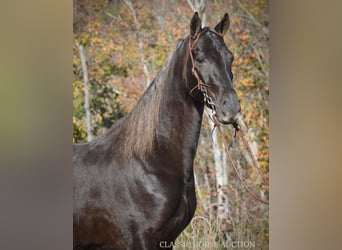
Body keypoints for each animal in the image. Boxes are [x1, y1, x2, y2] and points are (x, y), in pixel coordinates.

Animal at [74, 12, 240, 249]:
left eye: (230, 57)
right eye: (199, 58)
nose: (232, 108)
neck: (151, 161)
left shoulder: (168, 239)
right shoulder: (141, 238)